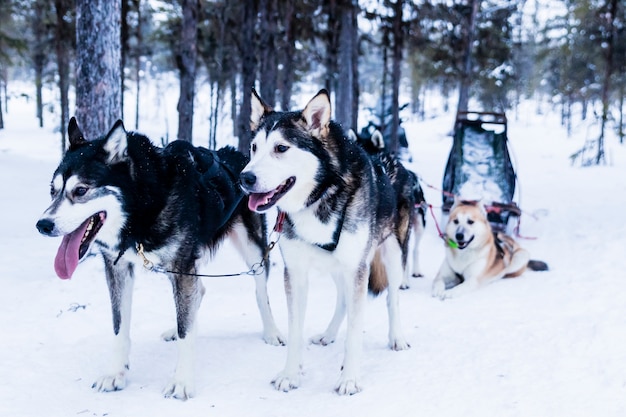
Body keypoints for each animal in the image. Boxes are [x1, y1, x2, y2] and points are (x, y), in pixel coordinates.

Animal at [35, 118, 282, 398]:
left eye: (80, 190)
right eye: (52, 190)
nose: (43, 225)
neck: (143, 207)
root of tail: (239, 157)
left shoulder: (182, 267)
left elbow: (187, 331)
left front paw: (182, 381)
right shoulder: (119, 267)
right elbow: (119, 326)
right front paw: (115, 373)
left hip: (252, 251)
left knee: (260, 293)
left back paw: (271, 332)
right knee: (199, 292)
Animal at [239, 88, 410, 394]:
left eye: (281, 148)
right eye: (254, 148)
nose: (245, 177)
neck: (320, 196)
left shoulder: (357, 268)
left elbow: (355, 332)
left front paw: (349, 379)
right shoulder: (296, 272)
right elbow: (295, 329)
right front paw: (290, 374)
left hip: (391, 255)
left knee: (392, 299)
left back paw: (396, 338)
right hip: (336, 267)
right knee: (342, 300)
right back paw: (329, 335)